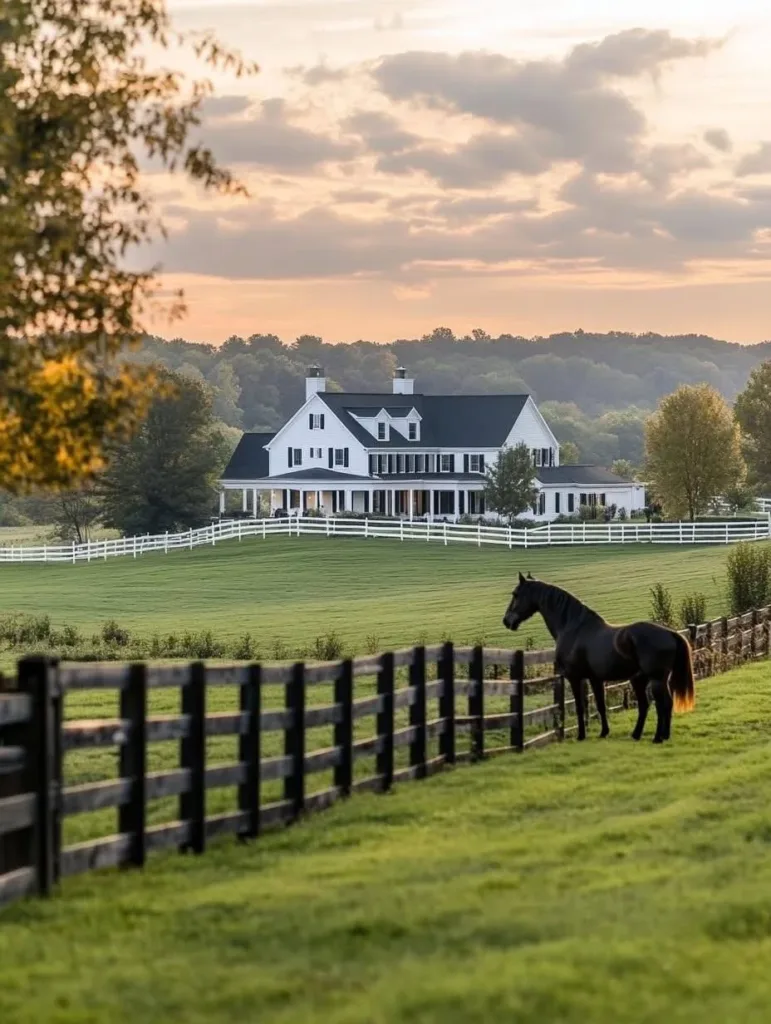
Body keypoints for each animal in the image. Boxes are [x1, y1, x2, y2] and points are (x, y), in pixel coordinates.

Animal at [501, 573, 696, 741]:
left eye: (516, 594)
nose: (506, 621)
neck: (574, 628)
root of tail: (670, 633)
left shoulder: (575, 678)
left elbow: (580, 707)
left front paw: (581, 736)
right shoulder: (595, 679)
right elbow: (601, 705)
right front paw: (604, 732)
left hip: (656, 679)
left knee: (663, 704)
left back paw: (657, 738)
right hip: (641, 680)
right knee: (649, 705)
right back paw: (644, 735)